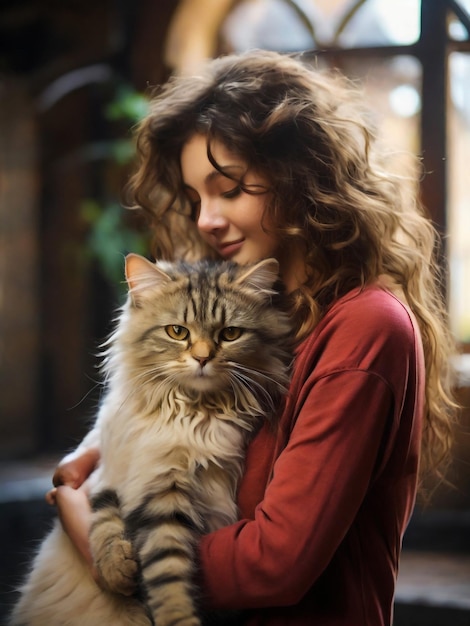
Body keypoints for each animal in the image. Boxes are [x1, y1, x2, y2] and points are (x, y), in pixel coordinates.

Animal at [11, 252, 294, 624]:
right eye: (177, 331)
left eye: (230, 333)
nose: (202, 358)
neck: (190, 410)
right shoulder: (126, 478)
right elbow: (105, 521)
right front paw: (118, 570)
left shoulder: (167, 499)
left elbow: (168, 578)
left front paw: (178, 617)